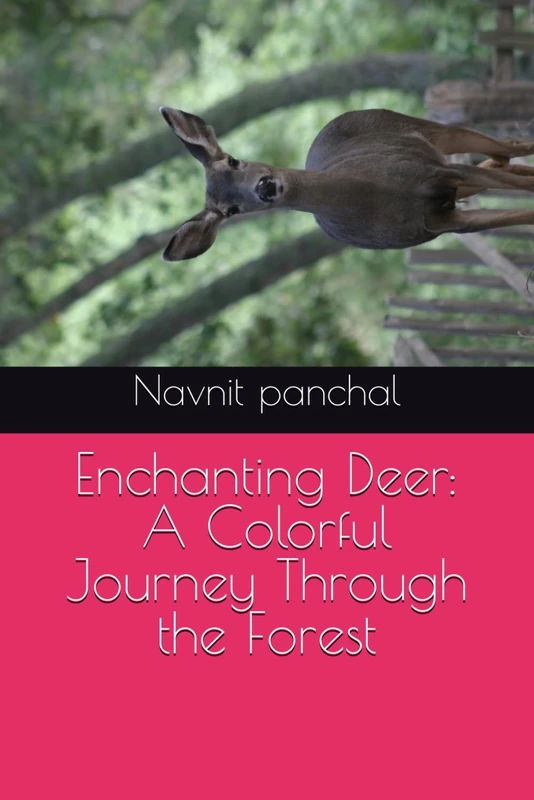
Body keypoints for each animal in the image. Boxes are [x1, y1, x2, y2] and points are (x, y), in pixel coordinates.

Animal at [158, 106, 534, 261]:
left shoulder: (437, 173)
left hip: (425, 130)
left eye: (234, 160)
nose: (265, 187)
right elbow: (510, 216)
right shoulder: (441, 221)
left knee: (507, 150)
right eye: (230, 211)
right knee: (503, 161)